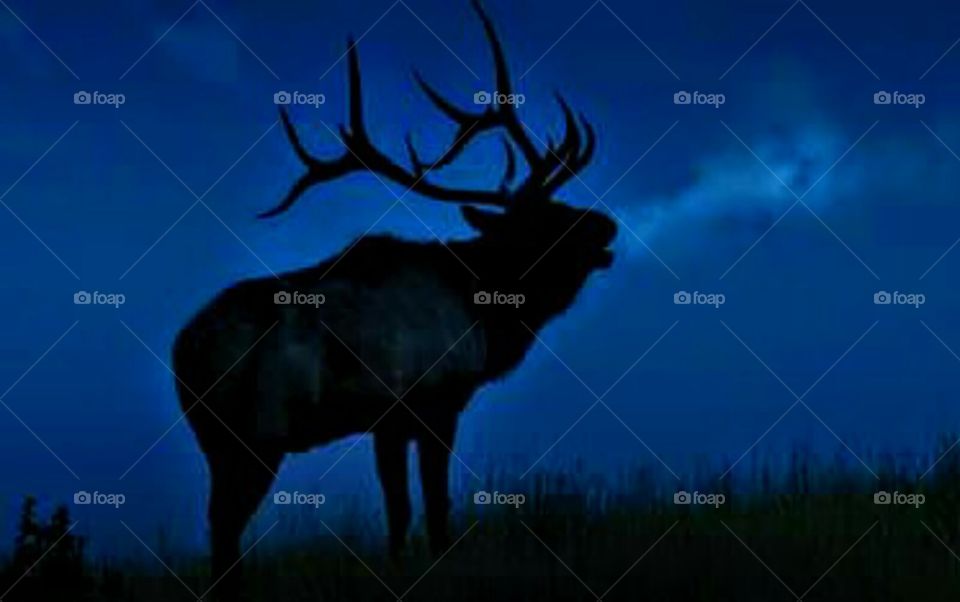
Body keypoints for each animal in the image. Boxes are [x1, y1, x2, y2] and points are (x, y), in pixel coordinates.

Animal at [172, 1, 616, 598]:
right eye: (543, 222)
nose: (606, 224)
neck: (486, 312)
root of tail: (183, 350)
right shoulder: (435, 401)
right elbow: (433, 506)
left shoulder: (386, 424)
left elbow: (398, 512)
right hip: (257, 436)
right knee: (225, 526)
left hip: (212, 440)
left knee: (219, 526)